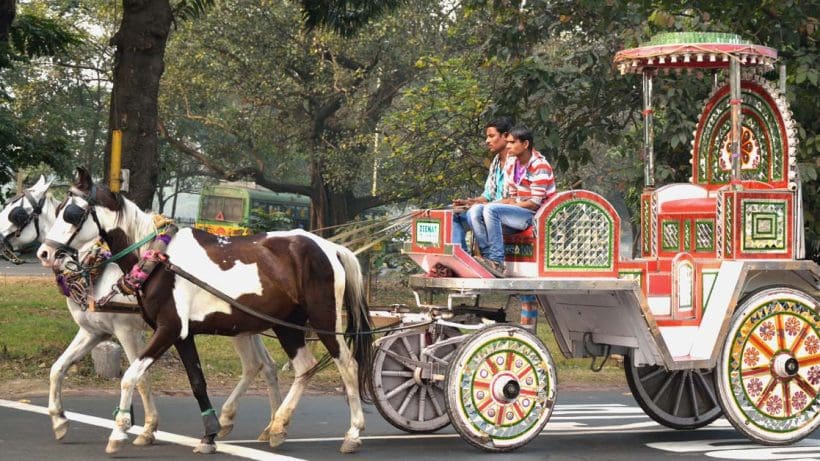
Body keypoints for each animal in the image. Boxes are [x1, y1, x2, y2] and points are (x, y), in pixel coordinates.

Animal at [36, 169, 374, 452]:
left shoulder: (165, 329)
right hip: (282, 325)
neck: (159, 259)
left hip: (322, 319)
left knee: (347, 365)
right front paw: (209, 433)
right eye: (58, 209)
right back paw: (277, 425)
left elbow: (132, 377)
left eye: (73, 213)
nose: (45, 253)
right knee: (300, 366)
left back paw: (353, 433)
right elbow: (196, 382)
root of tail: (330, 247)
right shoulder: (179, 334)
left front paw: (120, 430)